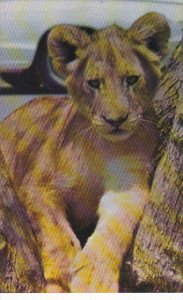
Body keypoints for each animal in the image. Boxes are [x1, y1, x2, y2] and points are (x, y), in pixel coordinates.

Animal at [0, 12, 169, 292]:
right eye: (94, 83)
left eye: (131, 80)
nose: (115, 120)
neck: (102, 146)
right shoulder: (37, 185)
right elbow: (57, 235)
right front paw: (62, 279)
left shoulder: (129, 185)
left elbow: (115, 228)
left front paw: (95, 280)